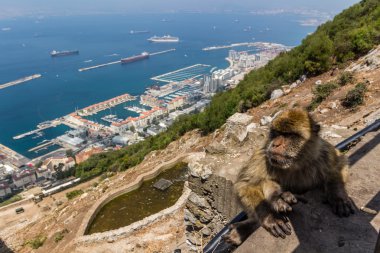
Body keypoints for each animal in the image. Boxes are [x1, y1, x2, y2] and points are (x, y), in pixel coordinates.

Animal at [224, 108, 354, 245]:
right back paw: (278, 199)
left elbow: (339, 164)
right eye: (276, 133)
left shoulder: (322, 152)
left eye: (288, 135)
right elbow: (245, 185)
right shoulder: (263, 154)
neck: (294, 164)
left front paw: (338, 197)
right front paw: (270, 217)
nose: (275, 144)